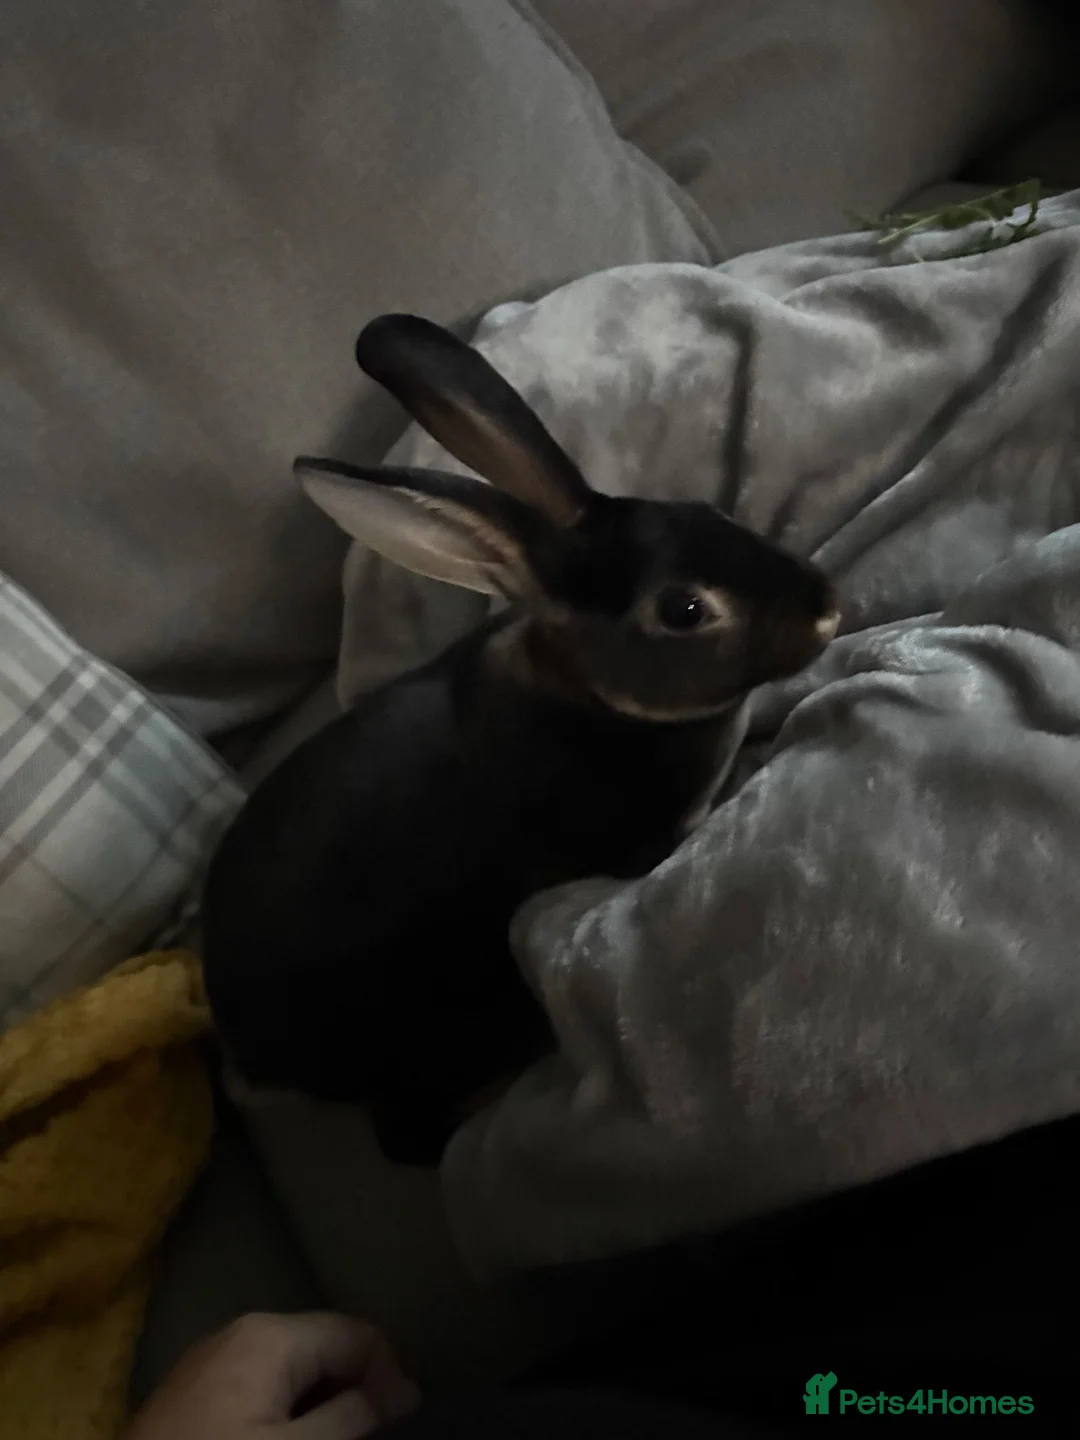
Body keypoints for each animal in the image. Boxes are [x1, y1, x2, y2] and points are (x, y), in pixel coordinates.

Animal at [201, 313, 840, 1167]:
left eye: (709, 510)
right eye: (683, 610)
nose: (827, 608)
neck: (593, 696)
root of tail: (245, 1056)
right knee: (412, 1141)